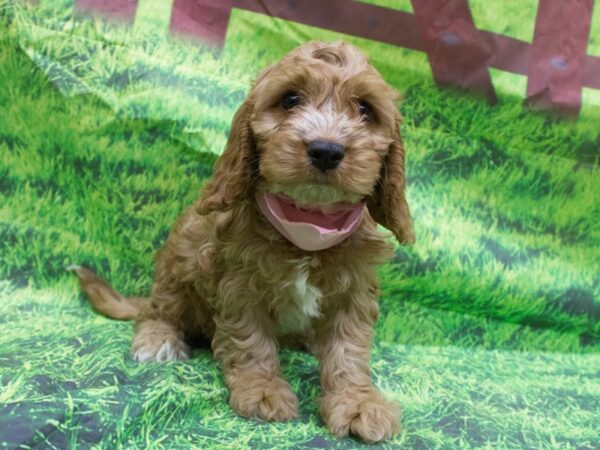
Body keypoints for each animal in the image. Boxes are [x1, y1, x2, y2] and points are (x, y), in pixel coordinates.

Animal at [70, 40, 414, 442]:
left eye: (365, 109)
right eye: (290, 99)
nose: (326, 150)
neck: (306, 225)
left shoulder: (354, 289)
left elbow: (349, 349)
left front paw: (358, 402)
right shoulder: (238, 284)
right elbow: (250, 340)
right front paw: (262, 389)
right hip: (178, 268)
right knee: (157, 310)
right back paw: (158, 338)